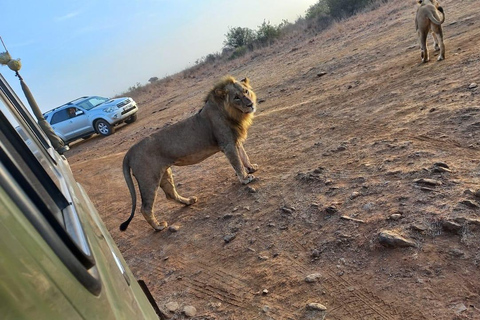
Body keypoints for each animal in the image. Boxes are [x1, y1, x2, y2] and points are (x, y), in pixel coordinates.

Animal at [119, 76, 258, 231]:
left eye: (246, 91)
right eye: (236, 98)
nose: (251, 104)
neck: (233, 113)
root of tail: (130, 152)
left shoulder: (235, 140)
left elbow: (244, 155)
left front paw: (251, 167)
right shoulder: (227, 144)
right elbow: (237, 163)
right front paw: (245, 178)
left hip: (164, 173)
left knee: (171, 194)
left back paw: (188, 201)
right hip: (148, 180)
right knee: (145, 208)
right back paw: (159, 227)